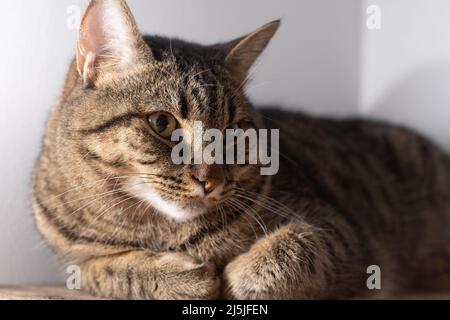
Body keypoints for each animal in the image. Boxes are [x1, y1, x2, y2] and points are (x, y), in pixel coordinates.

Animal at [31, 0, 450, 300]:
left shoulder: (341, 230)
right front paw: (181, 276)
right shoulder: (75, 261)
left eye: (232, 131)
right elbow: (108, 269)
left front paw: (237, 273)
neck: (165, 230)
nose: (210, 180)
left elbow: (296, 246)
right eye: (162, 123)